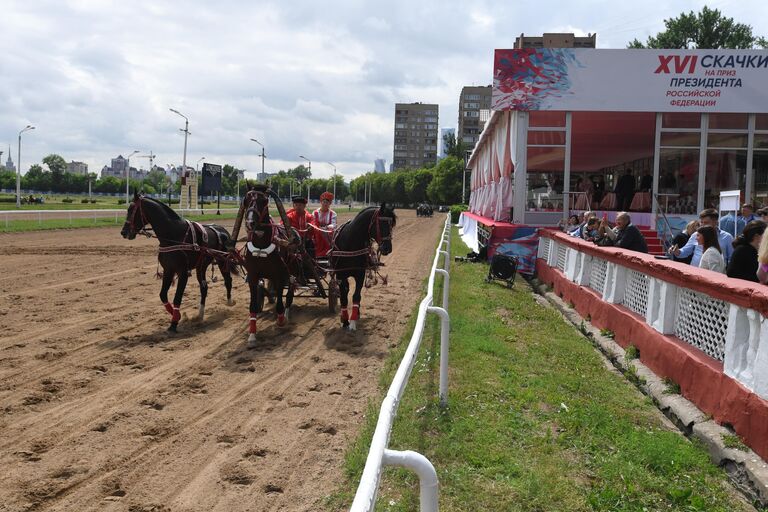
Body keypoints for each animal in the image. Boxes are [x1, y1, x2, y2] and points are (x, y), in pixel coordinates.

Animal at [121, 192, 237, 332]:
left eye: (132, 210)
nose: (124, 232)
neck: (173, 236)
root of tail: (222, 230)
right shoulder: (168, 270)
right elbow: (162, 295)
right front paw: (177, 315)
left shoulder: (183, 272)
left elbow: (177, 297)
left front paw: (174, 322)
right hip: (201, 266)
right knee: (204, 287)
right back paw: (200, 314)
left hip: (222, 260)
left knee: (228, 280)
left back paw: (230, 302)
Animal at [243, 190, 296, 342]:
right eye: (246, 200)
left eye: (264, 201)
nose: (250, 223)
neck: (261, 245)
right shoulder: (253, 276)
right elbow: (253, 305)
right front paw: (252, 334)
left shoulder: (279, 274)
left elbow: (280, 303)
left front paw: (281, 320)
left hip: (292, 268)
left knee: (290, 288)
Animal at [328, 202, 396, 330]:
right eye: (382, 224)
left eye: (392, 225)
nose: (387, 248)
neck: (350, 243)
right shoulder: (341, 274)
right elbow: (344, 296)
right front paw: (345, 320)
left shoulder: (360, 274)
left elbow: (356, 296)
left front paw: (353, 321)